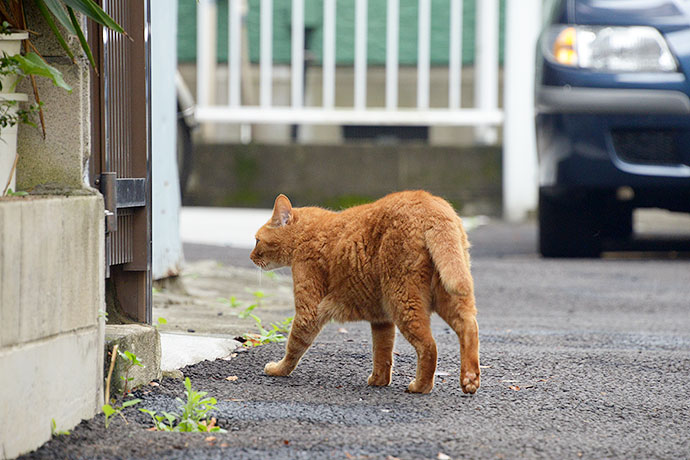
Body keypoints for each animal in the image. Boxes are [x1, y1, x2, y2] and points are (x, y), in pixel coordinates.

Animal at [249, 190, 478, 396]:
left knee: (429, 346)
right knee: (468, 326)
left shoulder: (309, 309)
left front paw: (279, 369)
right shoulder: (381, 319)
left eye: (257, 241)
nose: (251, 257)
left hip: (403, 300)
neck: (305, 233)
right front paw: (379, 380)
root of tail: (430, 203)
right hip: (449, 293)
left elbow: (294, 345)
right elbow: (382, 353)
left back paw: (421, 386)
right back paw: (470, 380)